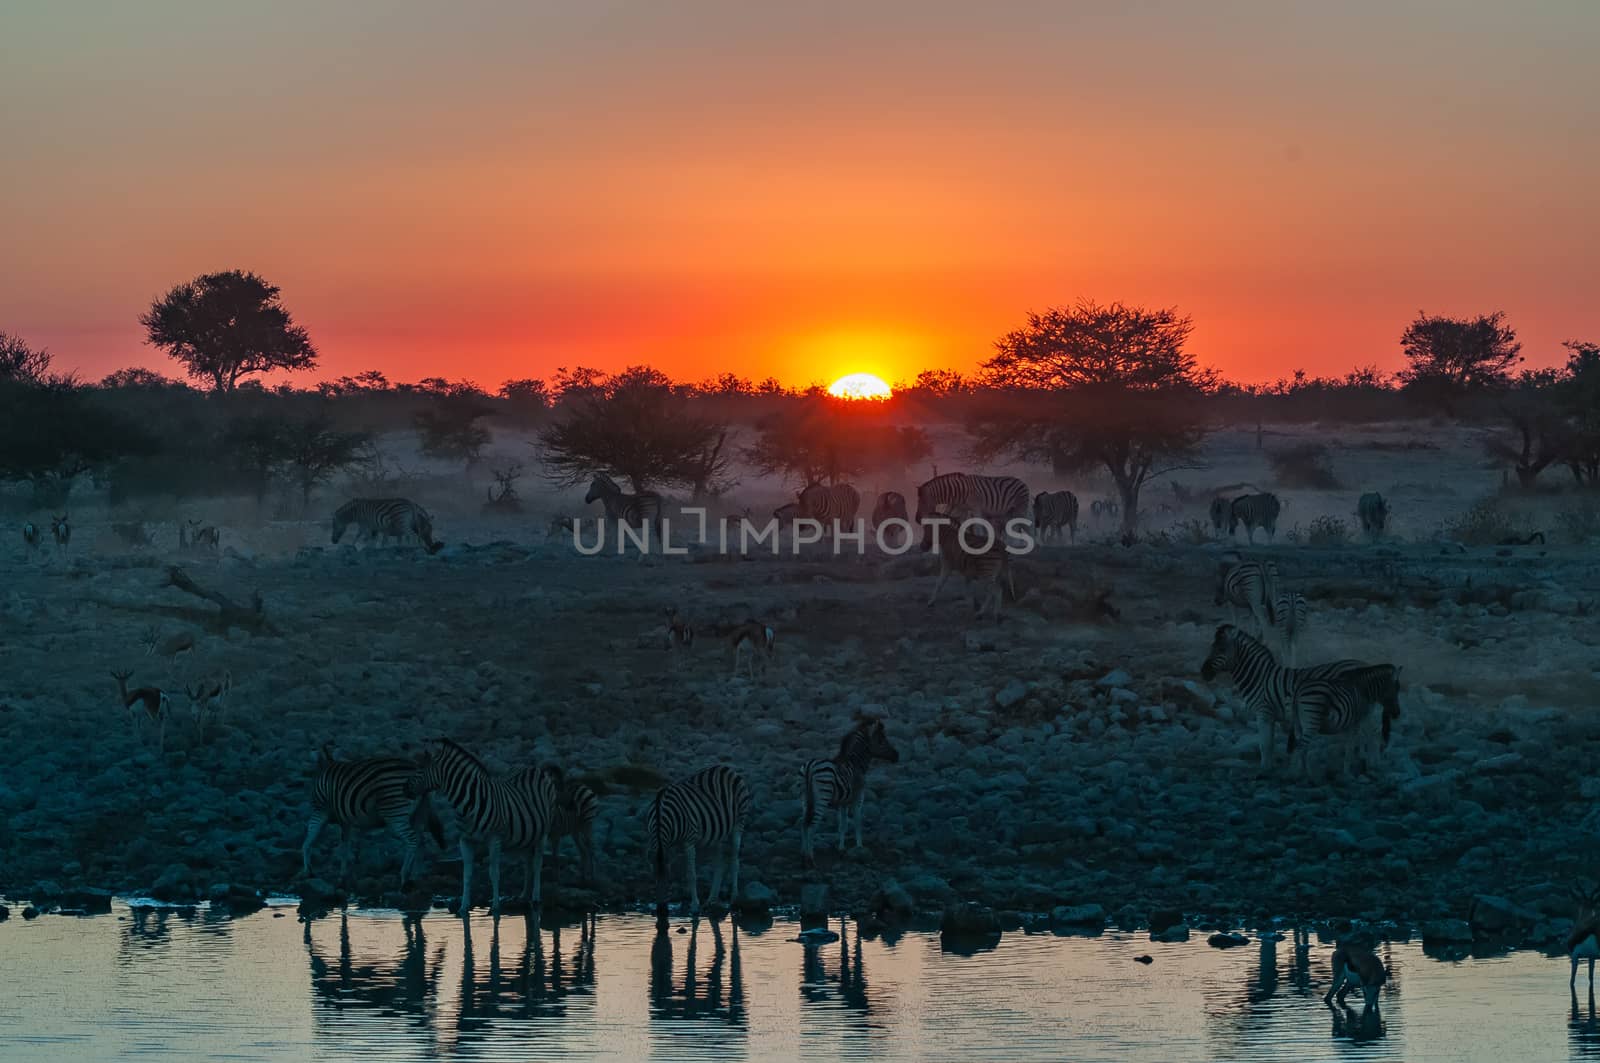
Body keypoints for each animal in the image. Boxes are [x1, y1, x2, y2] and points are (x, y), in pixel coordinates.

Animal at [300, 746, 444, 890]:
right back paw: (415, 876)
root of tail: (416, 766)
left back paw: (404, 877)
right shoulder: (345, 821)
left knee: (412, 840)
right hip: (419, 813)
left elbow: (309, 840)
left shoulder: (319, 811)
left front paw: (308, 871)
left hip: (395, 813)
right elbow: (345, 846)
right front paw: (343, 875)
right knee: (420, 841)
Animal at [409, 739, 560, 915]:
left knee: (537, 862)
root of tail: (536, 768)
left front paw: (495, 907)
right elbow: (467, 874)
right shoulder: (465, 840)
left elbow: (493, 873)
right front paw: (463, 907)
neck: (466, 805)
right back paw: (523, 895)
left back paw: (535, 898)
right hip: (525, 835)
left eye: (421, 770)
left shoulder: (494, 839)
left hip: (543, 832)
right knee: (528, 863)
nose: (404, 789)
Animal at [646, 765, 752, 915]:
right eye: (654, 878)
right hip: (719, 832)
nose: (661, 911)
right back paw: (711, 899)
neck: (660, 814)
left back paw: (734, 897)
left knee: (734, 860)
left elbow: (691, 874)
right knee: (719, 863)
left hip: (739, 822)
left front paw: (695, 906)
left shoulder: (689, 840)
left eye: (668, 879)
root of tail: (727, 768)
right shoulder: (663, 843)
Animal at [800, 714, 902, 864]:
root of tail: (810, 767)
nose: (897, 756)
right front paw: (860, 847)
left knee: (803, 824)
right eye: (881, 741)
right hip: (822, 798)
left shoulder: (843, 802)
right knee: (811, 826)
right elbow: (857, 822)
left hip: (805, 800)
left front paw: (841, 848)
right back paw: (810, 858)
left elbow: (843, 825)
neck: (856, 762)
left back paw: (803, 855)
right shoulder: (858, 797)